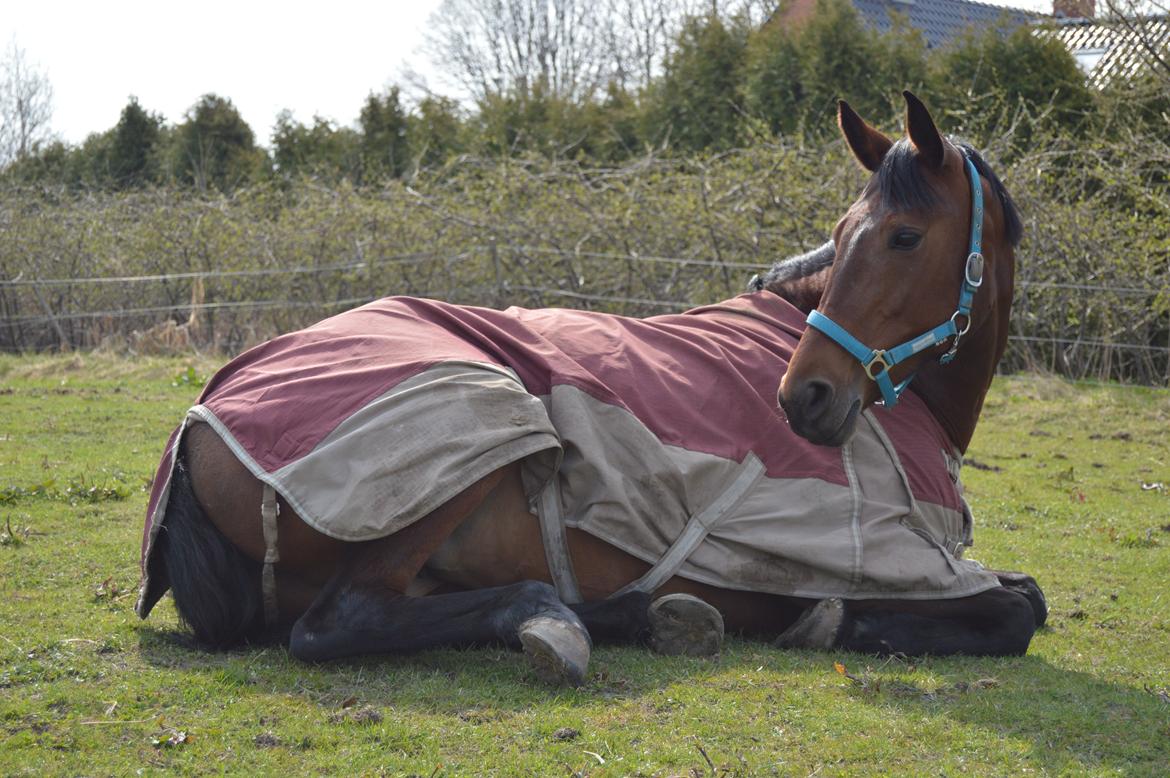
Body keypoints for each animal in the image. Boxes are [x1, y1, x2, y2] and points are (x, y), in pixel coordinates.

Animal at [134, 92, 1043, 687]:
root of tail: (201, 417)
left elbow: (1024, 598)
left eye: (903, 236)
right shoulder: (904, 559)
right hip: (470, 430)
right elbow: (1019, 610)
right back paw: (555, 623)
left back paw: (653, 617)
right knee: (339, 624)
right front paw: (835, 621)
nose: (804, 398)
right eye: (844, 233)